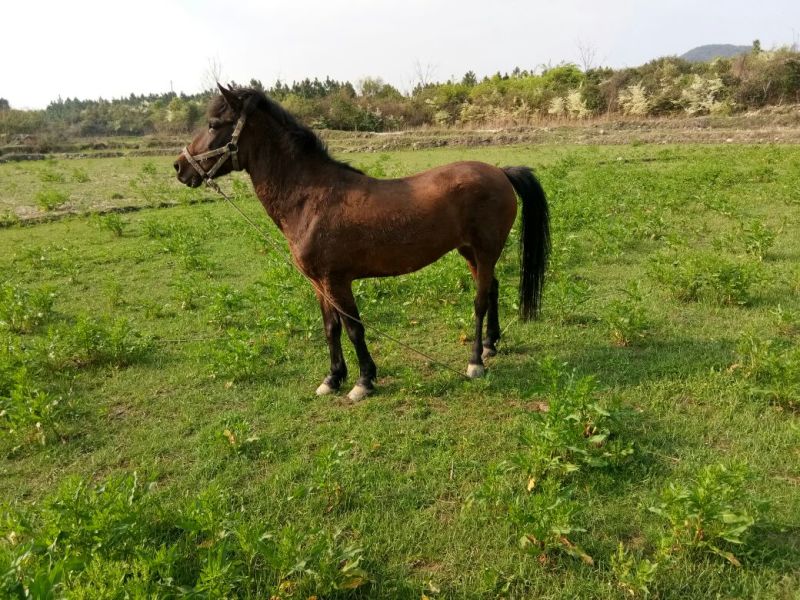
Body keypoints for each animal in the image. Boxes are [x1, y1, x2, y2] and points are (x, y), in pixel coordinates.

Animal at [175, 84, 550, 401]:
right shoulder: (319, 283)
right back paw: (490, 345)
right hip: (471, 252)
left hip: (483, 252)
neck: (311, 198)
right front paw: (332, 379)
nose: (180, 167)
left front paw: (364, 381)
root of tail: (499, 172)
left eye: (214, 124)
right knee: (493, 289)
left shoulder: (337, 280)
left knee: (480, 301)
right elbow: (331, 328)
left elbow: (353, 328)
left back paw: (475, 361)